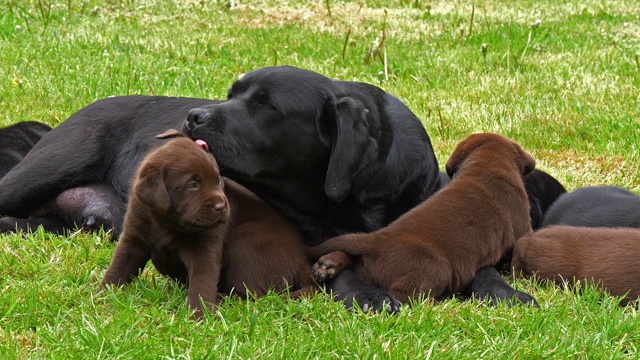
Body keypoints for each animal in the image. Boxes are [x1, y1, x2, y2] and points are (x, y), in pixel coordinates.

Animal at [0, 66, 536, 310]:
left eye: (265, 105)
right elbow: (336, 266)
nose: (193, 116)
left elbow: (478, 265)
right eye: (231, 94)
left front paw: (505, 290)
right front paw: (366, 292)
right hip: (51, 164)